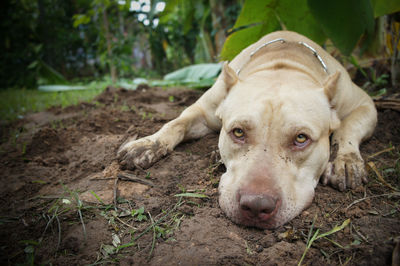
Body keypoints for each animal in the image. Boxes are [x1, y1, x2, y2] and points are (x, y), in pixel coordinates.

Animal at [117, 30, 376, 229]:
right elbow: (177, 122)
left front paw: (345, 159)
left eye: (301, 138)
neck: (284, 64)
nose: (256, 205)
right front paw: (149, 143)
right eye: (238, 132)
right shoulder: (204, 110)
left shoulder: (366, 104)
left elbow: (347, 127)